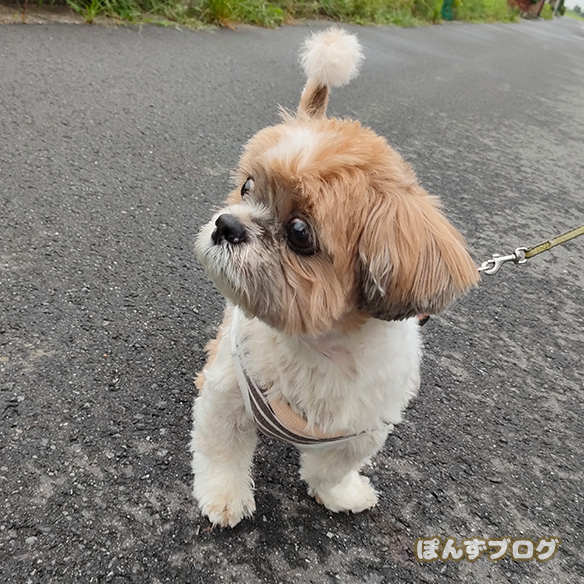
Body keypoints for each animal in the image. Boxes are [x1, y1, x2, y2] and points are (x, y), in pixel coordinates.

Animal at [191, 27, 479, 528]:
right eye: (247, 187)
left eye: (299, 232)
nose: (226, 225)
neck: (318, 345)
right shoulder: (229, 393)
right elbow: (221, 448)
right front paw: (224, 496)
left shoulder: (361, 429)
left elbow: (331, 469)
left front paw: (341, 494)